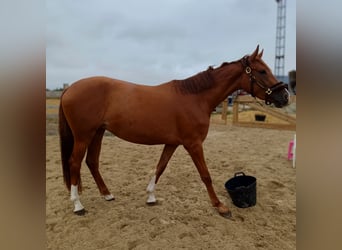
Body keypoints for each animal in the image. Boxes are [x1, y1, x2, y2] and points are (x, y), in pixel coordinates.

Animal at [58, 46, 288, 218]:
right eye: (262, 71)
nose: (284, 96)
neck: (195, 97)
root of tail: (69, 88)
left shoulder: (173, 143)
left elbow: (160, 167)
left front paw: (151, 196)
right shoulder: (193, 144)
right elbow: (206, 175)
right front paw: (220, 206)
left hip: (97, 133)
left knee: (92, 162)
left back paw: (107, 195)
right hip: (83, 136)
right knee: (74, 163)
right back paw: (78, 205)